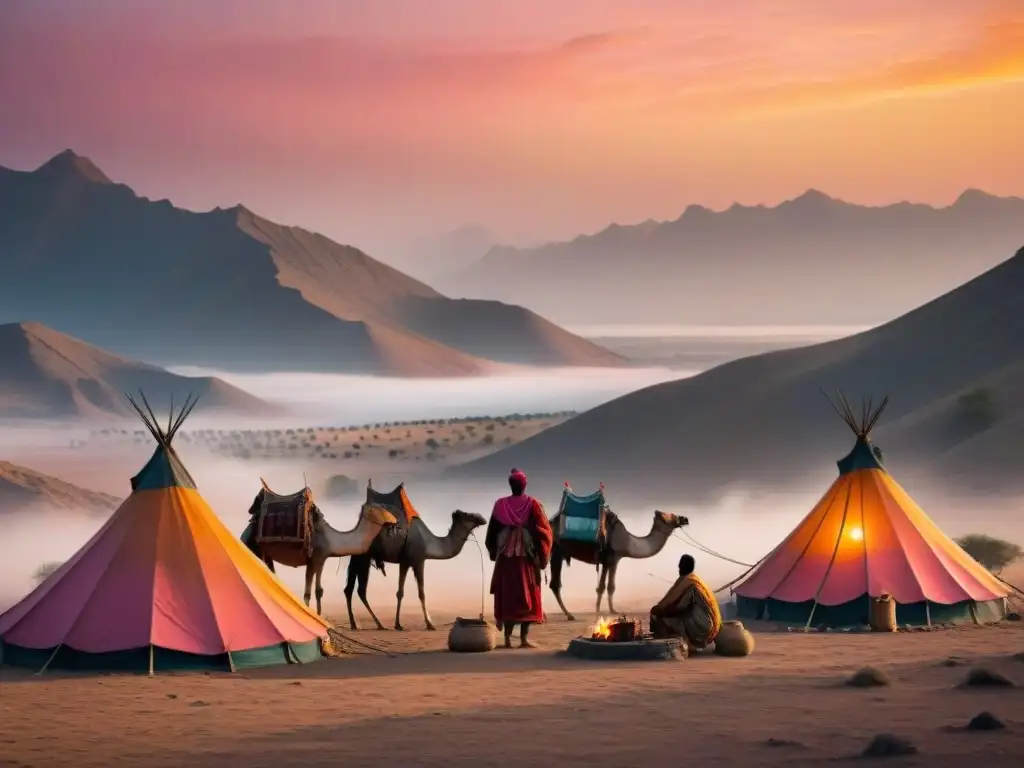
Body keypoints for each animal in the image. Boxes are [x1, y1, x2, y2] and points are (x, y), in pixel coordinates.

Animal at [239, 483, 395, 618]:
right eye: (383, 510)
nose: (395, 521)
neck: (331, 539)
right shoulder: (316, 557)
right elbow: (310, 592)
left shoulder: (318, 560)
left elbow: (315, 591)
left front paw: (317, 616)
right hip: (255, 546)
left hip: (265, 553)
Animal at [342, 483, 485, 634]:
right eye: (468, 515)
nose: (482, 518)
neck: (429, 542)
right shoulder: (414, 560)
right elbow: (410, 593)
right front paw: (417, 624)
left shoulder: (411, 562)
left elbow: (412, 592)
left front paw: (414, 623)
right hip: (362, 556)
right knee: (357, 589)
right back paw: (366, 624)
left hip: (361, 557)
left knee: (353, 589)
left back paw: (366, 624)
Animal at [548, 507, 692, 622]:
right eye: (671, 515)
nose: (685, 518)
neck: (628, 541)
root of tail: (550, 522)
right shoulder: (609, 558)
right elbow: (601, 587)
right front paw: (598, 611)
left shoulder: (615, 560)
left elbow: (611, 586)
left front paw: (613, 611)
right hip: (556, 550)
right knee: (555, 584)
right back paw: (569, 615)